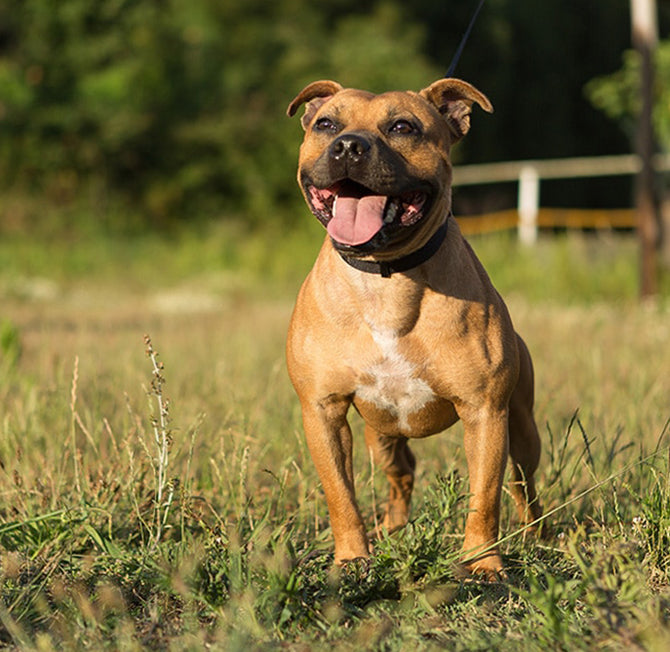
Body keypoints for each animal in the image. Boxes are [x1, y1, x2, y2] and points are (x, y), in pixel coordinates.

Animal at [286, 77, 544, 576]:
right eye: (326, 124)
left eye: (403, 127)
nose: (349, 146)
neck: (386, 278)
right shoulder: (323, 411)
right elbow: (341, 496)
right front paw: (353, 558)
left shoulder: (486, 413)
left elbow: (484, 496)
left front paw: (482, 564)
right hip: (381, 433)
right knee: (401, 471)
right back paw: (392, 528)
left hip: (523, 428)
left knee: (524, 485)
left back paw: (537, 536)